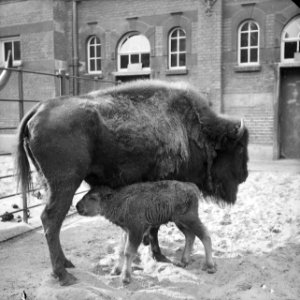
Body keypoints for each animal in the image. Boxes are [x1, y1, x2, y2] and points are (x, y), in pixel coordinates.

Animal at [75, 180, 216, 284]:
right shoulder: (126, 231)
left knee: (205, 236)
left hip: (189, 218)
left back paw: (210, 266)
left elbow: (128, 252)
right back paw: (183, 261)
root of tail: (191, 186)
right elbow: (121, 250)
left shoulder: (136, 231)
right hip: (180, 221)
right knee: (190, 236)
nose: (77, 206)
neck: (120, 202)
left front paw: (126, 277)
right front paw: (116, 270)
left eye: (93, 197)